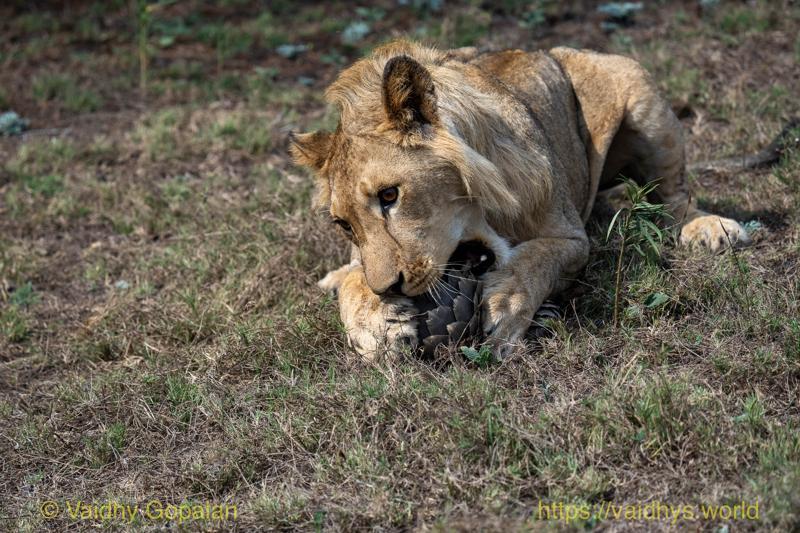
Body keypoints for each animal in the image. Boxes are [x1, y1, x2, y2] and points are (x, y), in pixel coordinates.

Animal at [290, 40, 751, 359]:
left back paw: (710, 228)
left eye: (390, 195)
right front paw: (376, 323)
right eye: (343, 224)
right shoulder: (362, 260)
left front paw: (506, 306)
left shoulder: (573, 239)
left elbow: (538, 259)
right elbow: (356, 280)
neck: (481, 216)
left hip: (635, 85)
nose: (389, 288)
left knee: (674, 196)